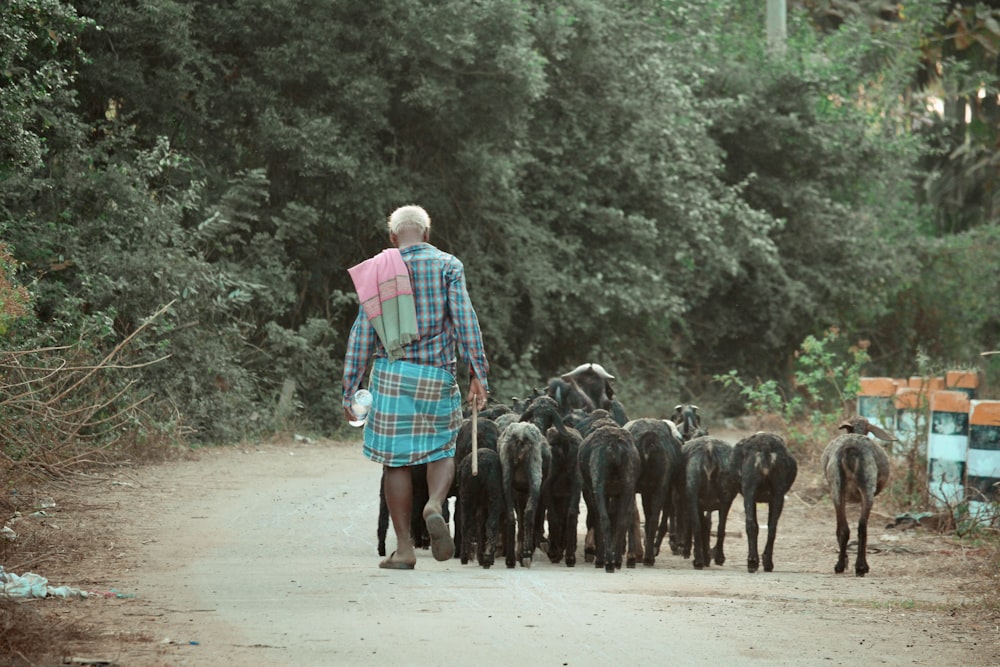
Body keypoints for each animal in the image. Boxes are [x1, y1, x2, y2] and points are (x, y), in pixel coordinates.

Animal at [580, 420, 640, 572]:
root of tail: (613, 444)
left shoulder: (593, 492)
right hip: (627, 487)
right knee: (621, 520)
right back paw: (616, 560)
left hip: (599, 487)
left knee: (604, 519)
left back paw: (606, 562)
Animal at [684, 436, 740, 572]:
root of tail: (710, 449)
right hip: (724, 498)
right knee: (719, 527)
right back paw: (717, 557)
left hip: (695, 497)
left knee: (699, 526)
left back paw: (699, 560)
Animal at [728, 434, 796, 576]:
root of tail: (765, 446)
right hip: (778, 493)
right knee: (771, 527)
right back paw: (766, 563)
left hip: (750, 491)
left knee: (751, 525)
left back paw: (753, 562)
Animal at [820, 414, 892, 576]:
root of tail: (850, 448)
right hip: (866, 485)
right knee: (861, 526)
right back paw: (859, 566)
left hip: (837, 487)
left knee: (847, 528)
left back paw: (843, 565)